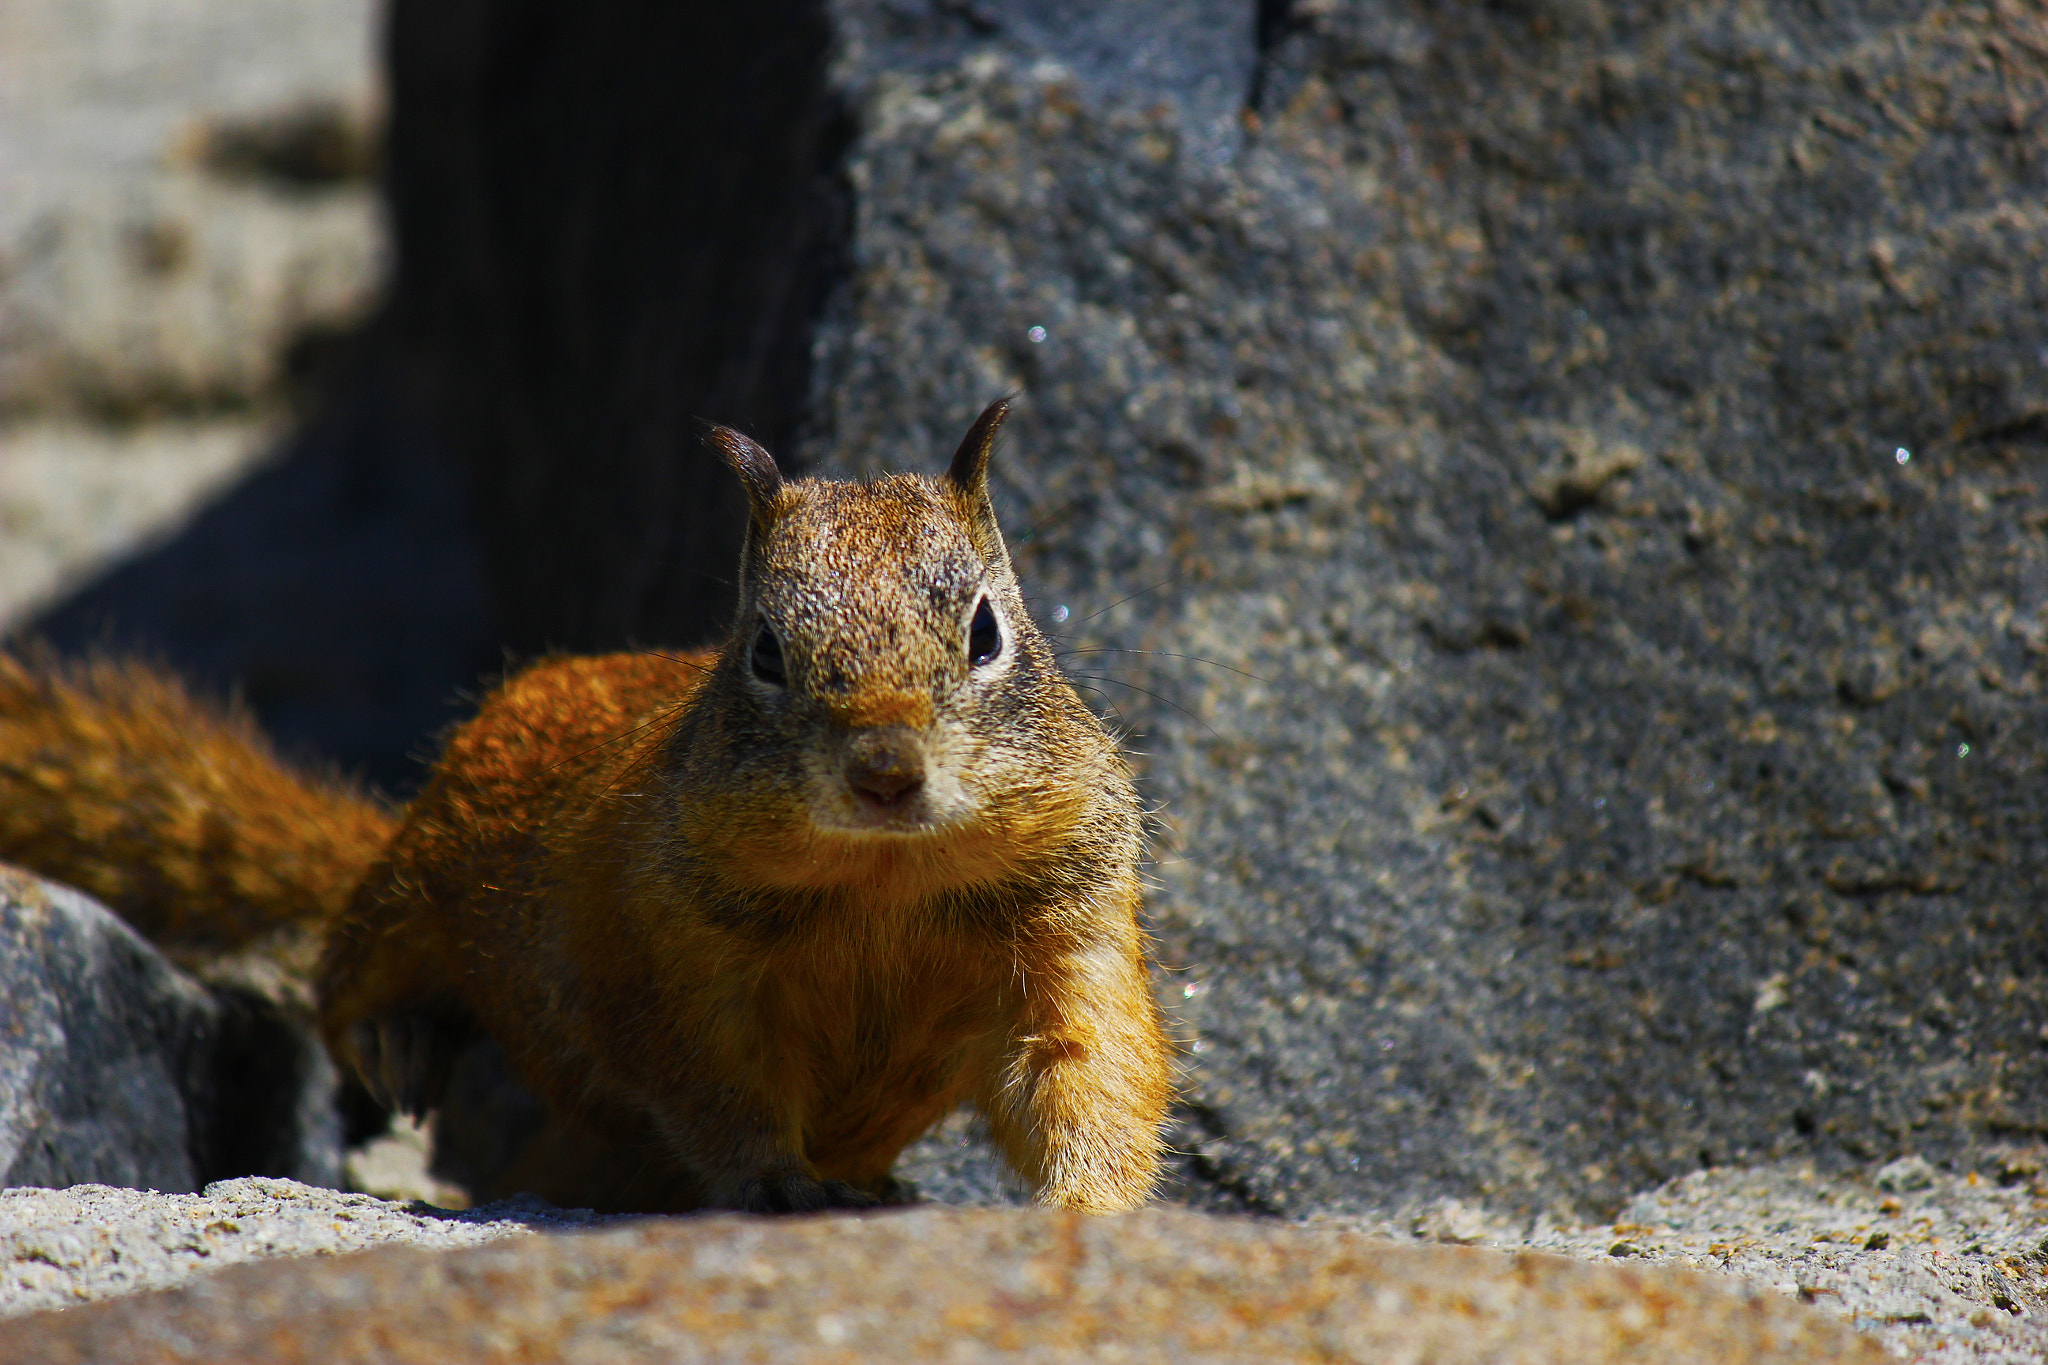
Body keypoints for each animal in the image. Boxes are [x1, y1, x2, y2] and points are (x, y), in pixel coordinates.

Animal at [0, 400, 1173, 1215]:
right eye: (763, 649)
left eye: (985, 632)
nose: (884, 770)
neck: (882, 875)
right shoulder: (670, 960)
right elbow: (714, 1087)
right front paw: (775, 1179)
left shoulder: (1066, 925)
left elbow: (1090, 1070)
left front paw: (1088, 1207)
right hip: (416, 882)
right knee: (351, 977)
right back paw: (397, 1038)